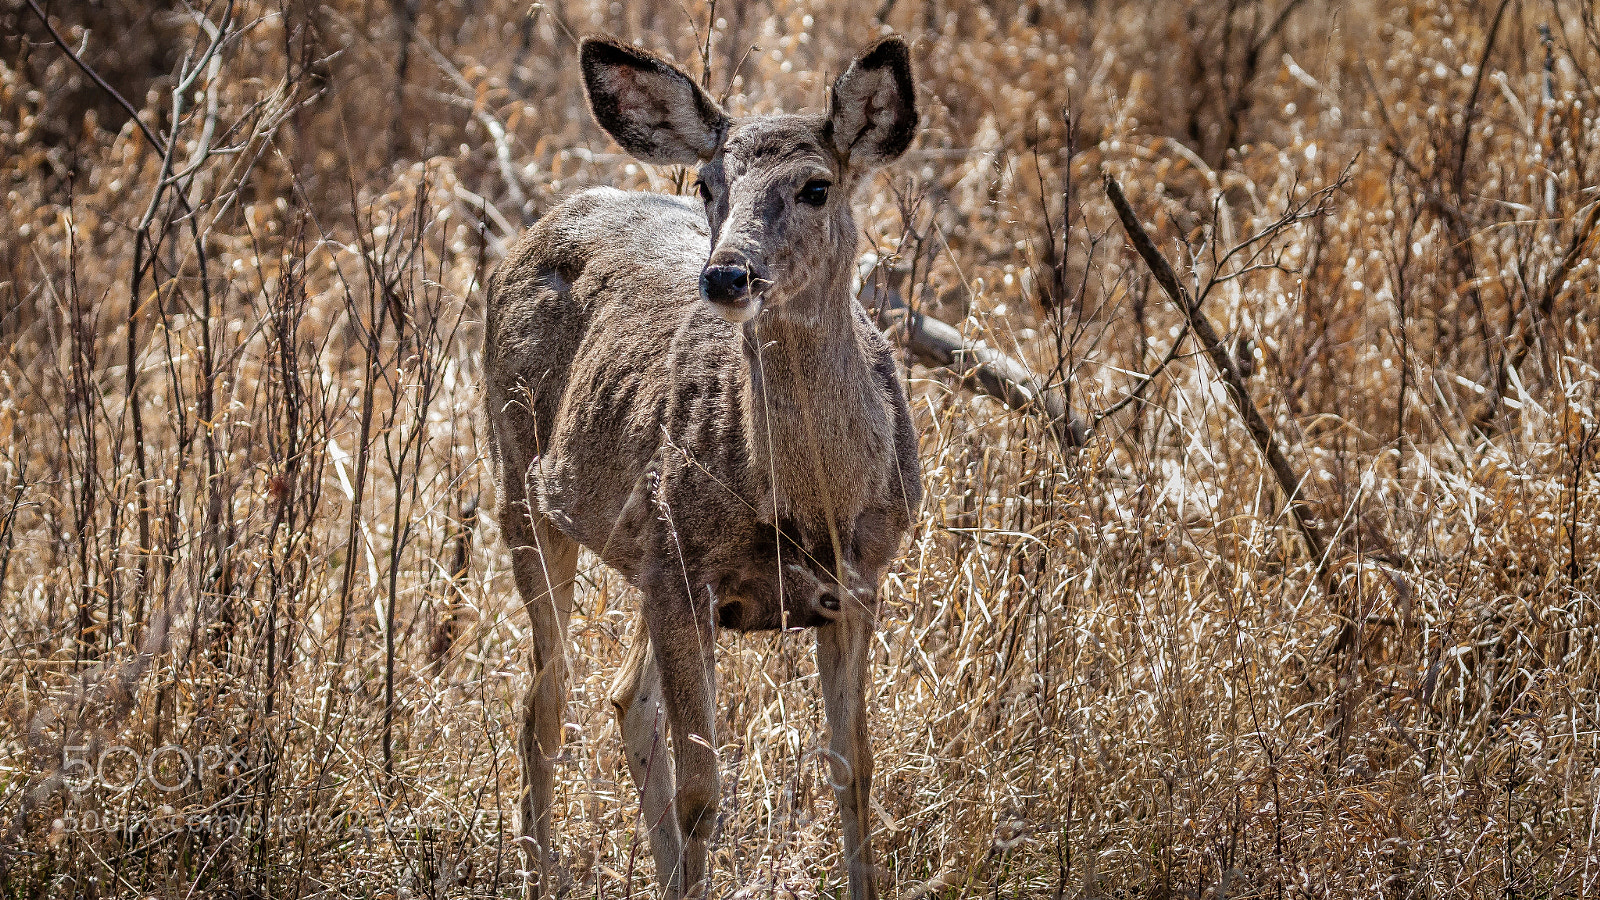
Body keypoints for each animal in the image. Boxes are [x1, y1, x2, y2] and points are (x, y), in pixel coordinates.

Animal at [483, 33, 922, 900]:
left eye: (816, 186)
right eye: (707, 182)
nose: (725, 274)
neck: (811, 505)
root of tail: (548, 218)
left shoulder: (861, 582)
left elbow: (854, 771)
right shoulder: (683, 567)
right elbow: (703, 790)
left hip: (645, 549)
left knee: (626, 699)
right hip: (525, 484)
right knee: (545, 703)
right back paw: (540, 869)